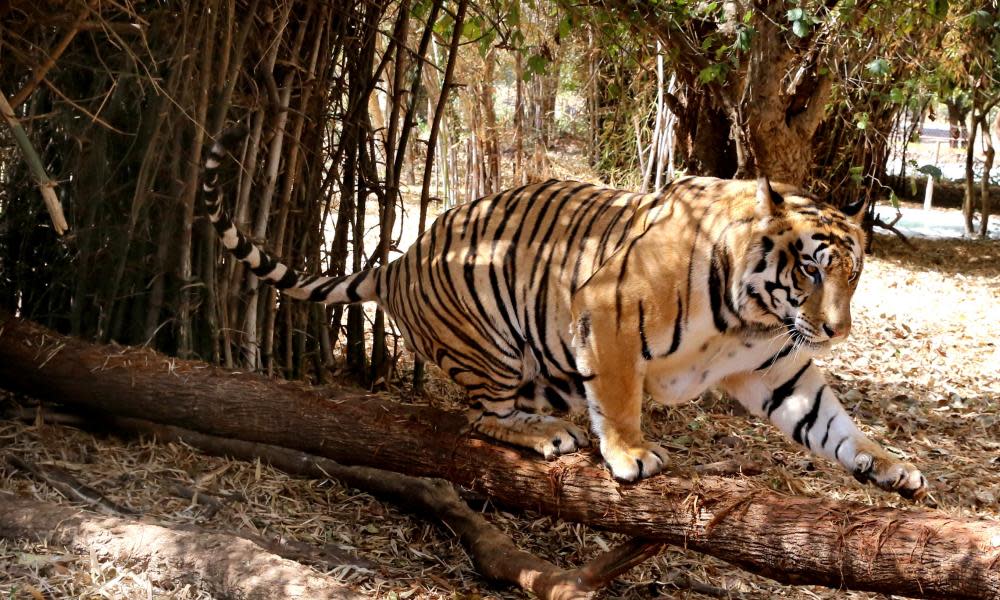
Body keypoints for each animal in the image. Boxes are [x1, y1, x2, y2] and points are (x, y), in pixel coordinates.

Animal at [201, 129, 928, 500]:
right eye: (810, 270)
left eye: (853, 275)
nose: (836, 330)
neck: (753, 316)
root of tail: (400, 259)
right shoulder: (606, 314)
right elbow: (621, 396)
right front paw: (631, 454)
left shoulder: (777, 370)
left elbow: (834, 425)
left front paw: (890, 466)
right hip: (493, 341)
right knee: (477, 419)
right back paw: (546, 436)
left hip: (539, 368)